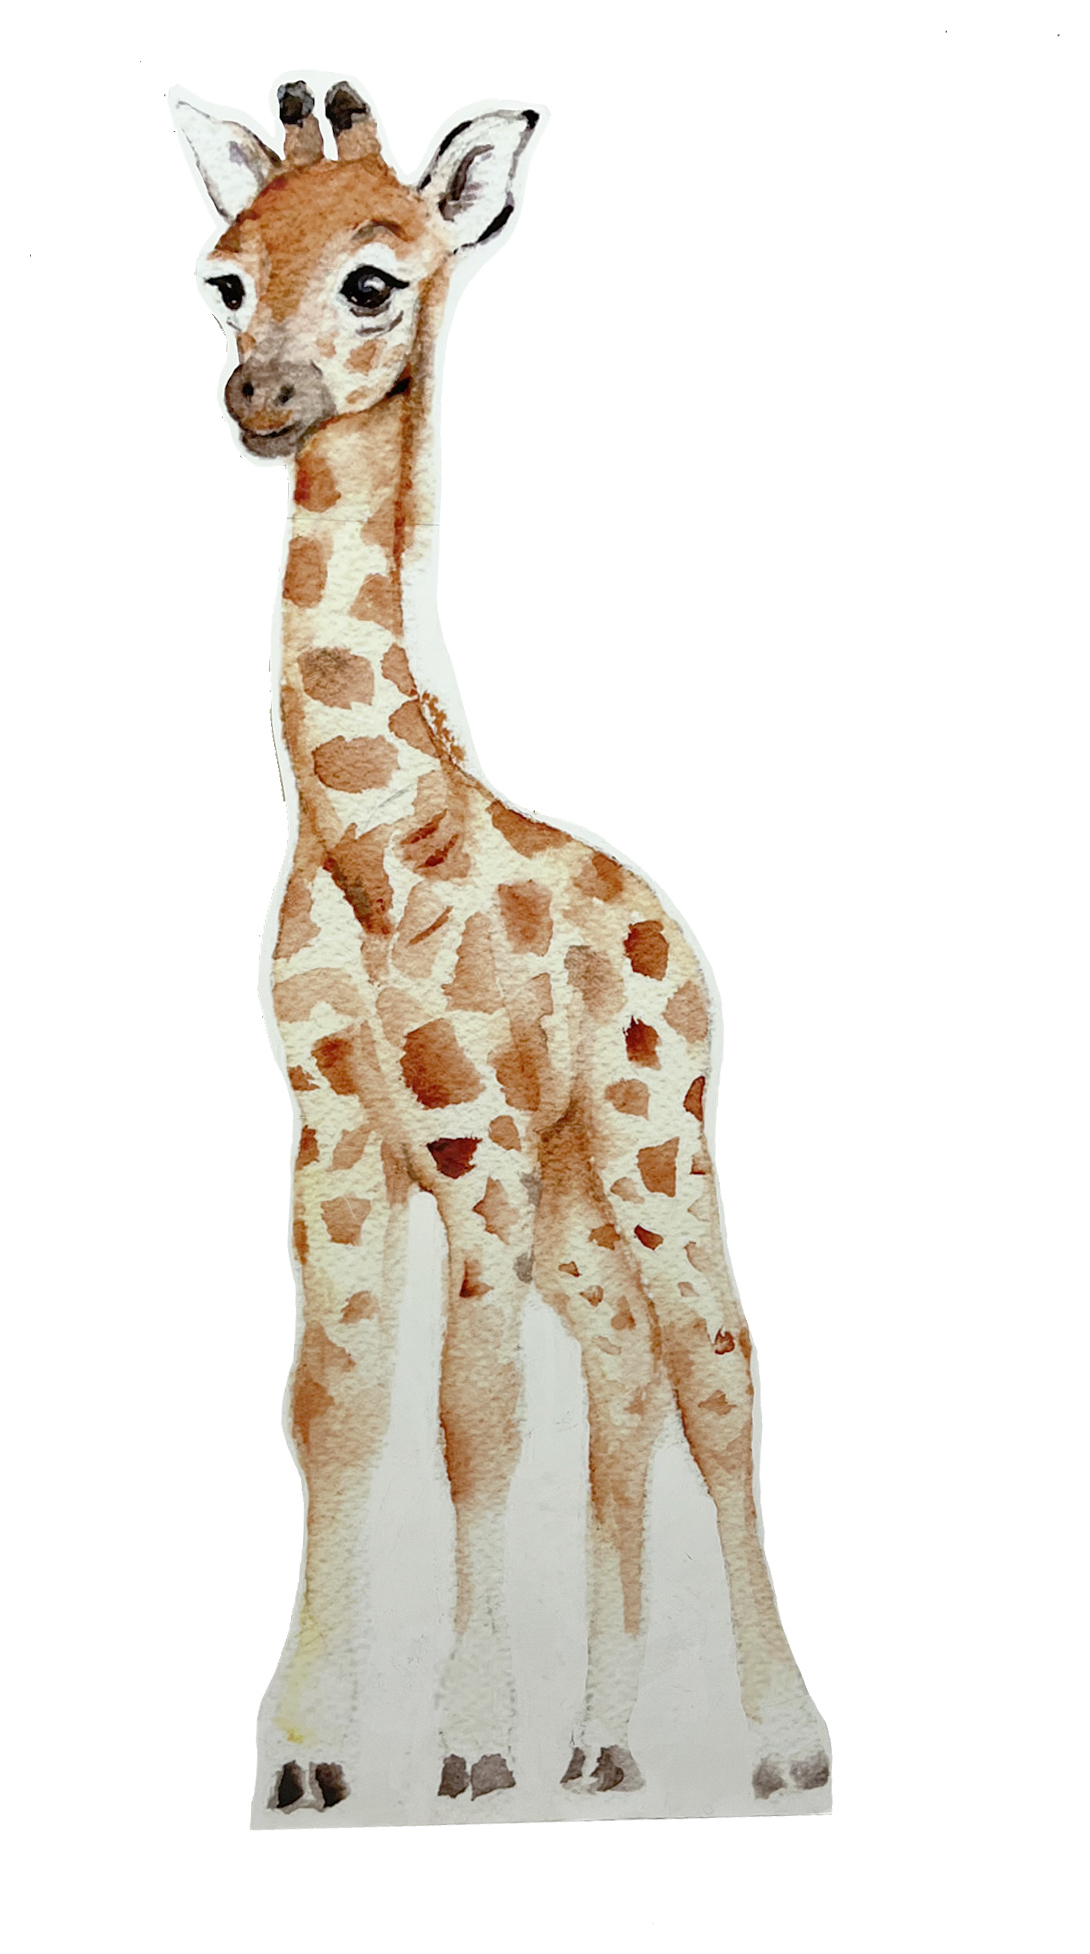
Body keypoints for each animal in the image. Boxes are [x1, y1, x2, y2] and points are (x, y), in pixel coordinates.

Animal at [173, 78, 831, 1819]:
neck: (373, 840)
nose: (261, 397)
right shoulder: (335, 1134)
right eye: (222, 277)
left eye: (375, 277)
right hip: (576, 1199)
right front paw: (309, 1753)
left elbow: (469, 1412)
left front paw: (464, 1732)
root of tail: (674, 932)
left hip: (652, 1135)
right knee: (623, 1370)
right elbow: (332, 1408)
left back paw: (783, 1741)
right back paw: (603, 1744)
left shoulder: (467, 1135)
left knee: (720, 1362)